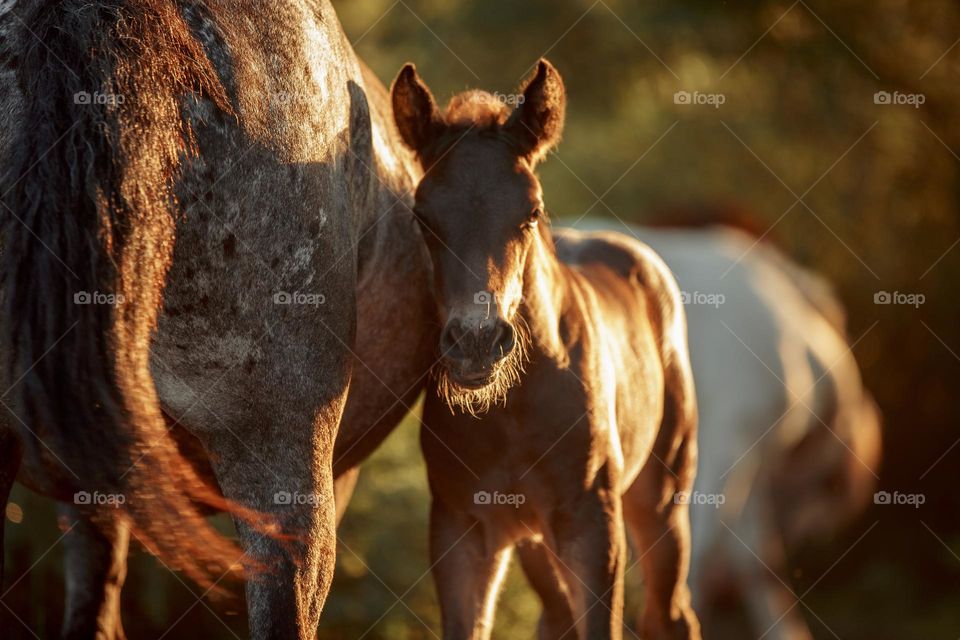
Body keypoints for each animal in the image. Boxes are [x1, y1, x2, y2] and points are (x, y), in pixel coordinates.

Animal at [388, 57, 696, 636]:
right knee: (557, 616)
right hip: (534, 541)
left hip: (662, 497)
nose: (477, 341)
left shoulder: (592, 525)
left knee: (670, 613)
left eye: (531, 212)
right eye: (422, 216)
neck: (513, 410)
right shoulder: (461, 529)